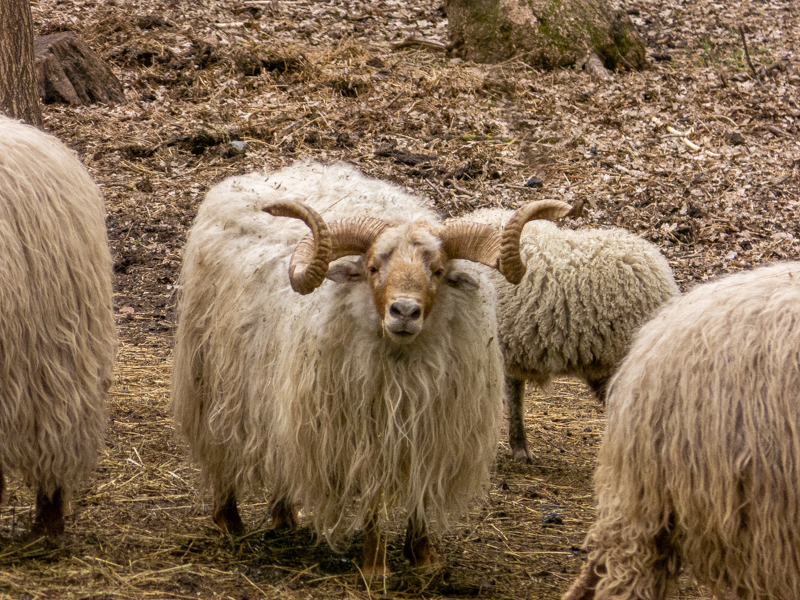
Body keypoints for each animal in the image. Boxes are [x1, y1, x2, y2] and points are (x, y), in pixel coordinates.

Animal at [171, 161, 576, 576]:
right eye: (372, 267)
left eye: (438, 270)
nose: (405, 312)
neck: (402, 367)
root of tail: (257, 175)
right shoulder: (364, 436)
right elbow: (375, 497)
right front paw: (375, 563)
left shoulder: (432, 430)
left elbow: (421, 492)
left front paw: (424, 556)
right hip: (214, 382)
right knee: (219, 451)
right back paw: (229, 520)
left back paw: (284, 518)